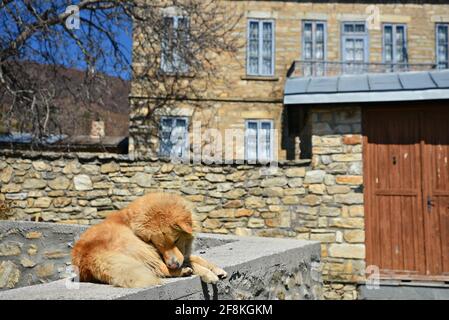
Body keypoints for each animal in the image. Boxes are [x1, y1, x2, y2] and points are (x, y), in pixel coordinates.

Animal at [73, 191, 228, 288]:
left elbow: (196, 258)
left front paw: (216, 268)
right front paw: (209, 274)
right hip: (139, 248)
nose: (174, 265)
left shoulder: (179, 255)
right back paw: (184, 271)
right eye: (157, 244)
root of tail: (88, 257)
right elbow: (193, 263)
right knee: (159, 270)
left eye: (176, 240)